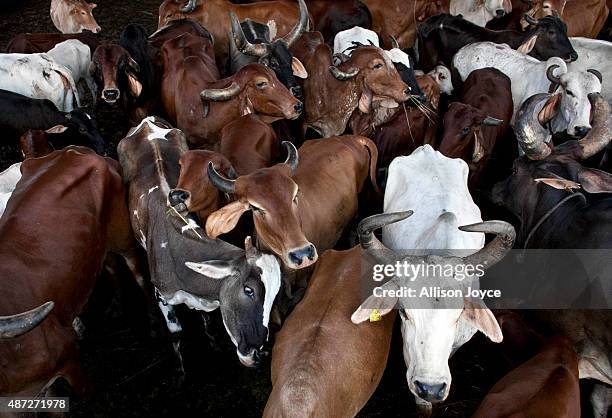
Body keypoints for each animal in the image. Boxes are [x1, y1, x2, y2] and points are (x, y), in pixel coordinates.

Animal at [0, 146, 142, 396]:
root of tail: (75, 150)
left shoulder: (69, 354)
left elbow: (87, 390)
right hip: (97, 244)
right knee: (110, 265)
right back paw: (116, 306)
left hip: (122, 235)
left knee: (136, 269)